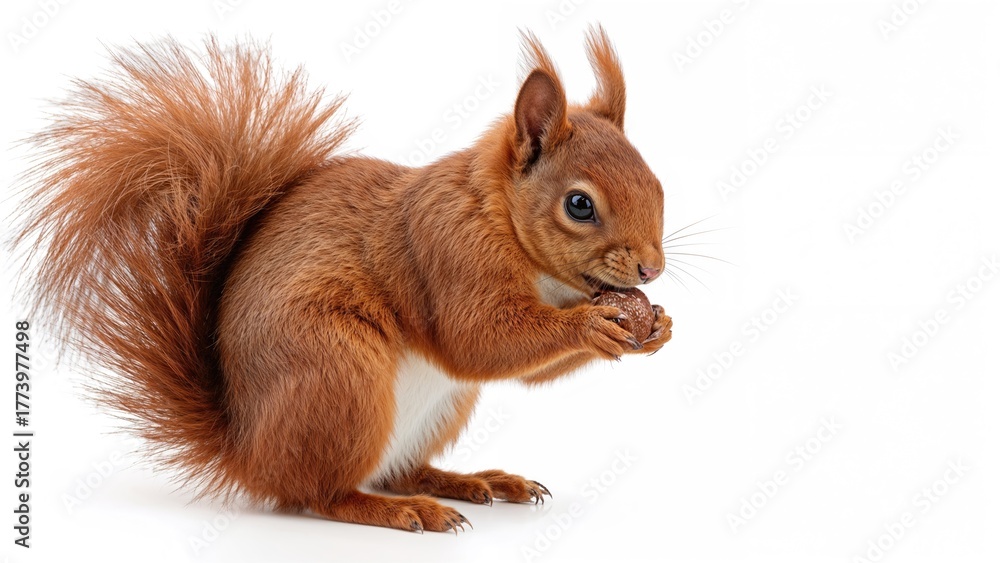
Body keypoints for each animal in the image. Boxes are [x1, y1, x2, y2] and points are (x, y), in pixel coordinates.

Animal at [16, 27, 671, 533]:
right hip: (338, 374)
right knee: (321, 493)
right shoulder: (446, 252)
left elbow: (527, 369)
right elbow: (478, 340)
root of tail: (247, 452)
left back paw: (469, 480)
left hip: (435, 406)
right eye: (579, 205)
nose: (652, 269)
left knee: (396, 470)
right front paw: (593, 325)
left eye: (658, 185)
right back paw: (402, 511)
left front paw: (656, 326)